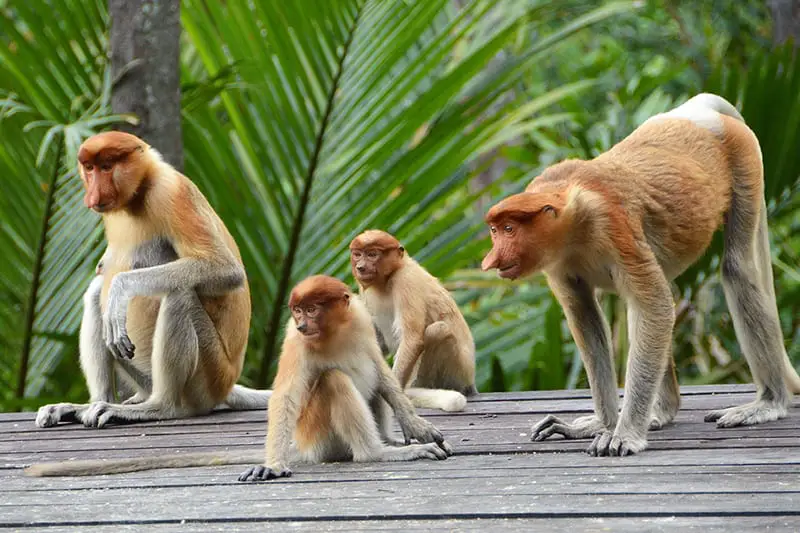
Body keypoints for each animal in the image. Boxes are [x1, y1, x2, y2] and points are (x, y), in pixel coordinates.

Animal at [25, 276, 452, 478]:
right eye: (298, 312)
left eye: (313, 308)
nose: (303, 324)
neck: (335, 332)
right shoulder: (296, 345)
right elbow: (288, 396)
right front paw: (272, 466)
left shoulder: (360, 321)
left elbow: (382, 372)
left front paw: (420, 428)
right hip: (321, 434)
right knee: (333, 382)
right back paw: (379, 452)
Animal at [34, 131, 270, 430]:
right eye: (89, 168)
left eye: (107, 166)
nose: (93, 194)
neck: (139, 193)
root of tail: (228, 385)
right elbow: (103, 276)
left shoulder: (170, 193)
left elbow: (226, 270)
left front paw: (120, 290)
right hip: (145, 375)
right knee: (96, 292)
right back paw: (91, 404)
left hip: (209, 375)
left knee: (180, 294)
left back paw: (159, 407)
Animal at [349, 230, 477, 412]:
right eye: (357, 254)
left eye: (372, 254)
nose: (360, 267)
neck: (387, 279)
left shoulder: (406, 281)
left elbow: (412, 339)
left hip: (457, 374)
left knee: (439, 330)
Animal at [481, 93, 800, 457]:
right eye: (494, 231)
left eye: (509, 228)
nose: (490, 260)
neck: (571, 220)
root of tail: (697, 113)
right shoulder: (559, 264)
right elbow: (586, 319)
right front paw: (601, 424)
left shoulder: (612, 225)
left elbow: (654, 304)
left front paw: (624, 435)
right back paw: (661, 413)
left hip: (744, 159)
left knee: (736, 270)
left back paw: (768, 403)